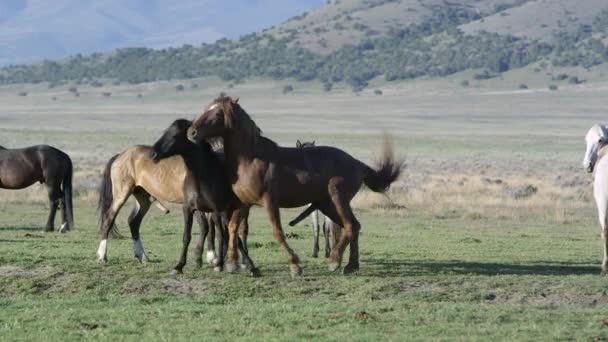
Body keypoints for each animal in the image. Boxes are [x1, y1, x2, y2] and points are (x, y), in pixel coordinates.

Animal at [185, 95, 404, 276]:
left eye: (217, 113)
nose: (191, 132)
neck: (251, 160)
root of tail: (357, 163)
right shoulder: (243, 203)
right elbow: (233, 228)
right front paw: (232, 263)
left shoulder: (269, 202)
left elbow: (277, 232)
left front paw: (295, 266)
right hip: (326, 205)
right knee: (354, 226)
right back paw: (350, 265)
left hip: (338, 198)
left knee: (350, 226)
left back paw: (334, 261)